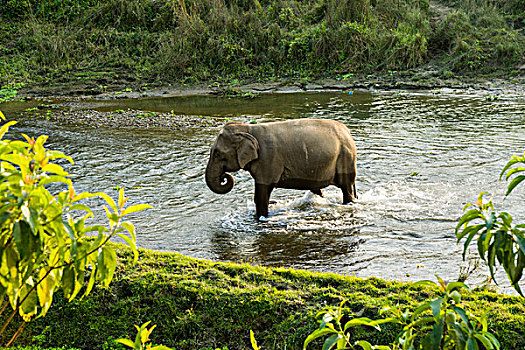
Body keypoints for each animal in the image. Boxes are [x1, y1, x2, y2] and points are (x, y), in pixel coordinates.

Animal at [205, 118, 356, 219]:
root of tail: (347, 132)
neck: (249, 129)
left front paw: (261, 218)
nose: (224, 177)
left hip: (345, 157)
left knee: (346, 187)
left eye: (217, 153)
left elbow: (261, 194)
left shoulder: (268, 159)